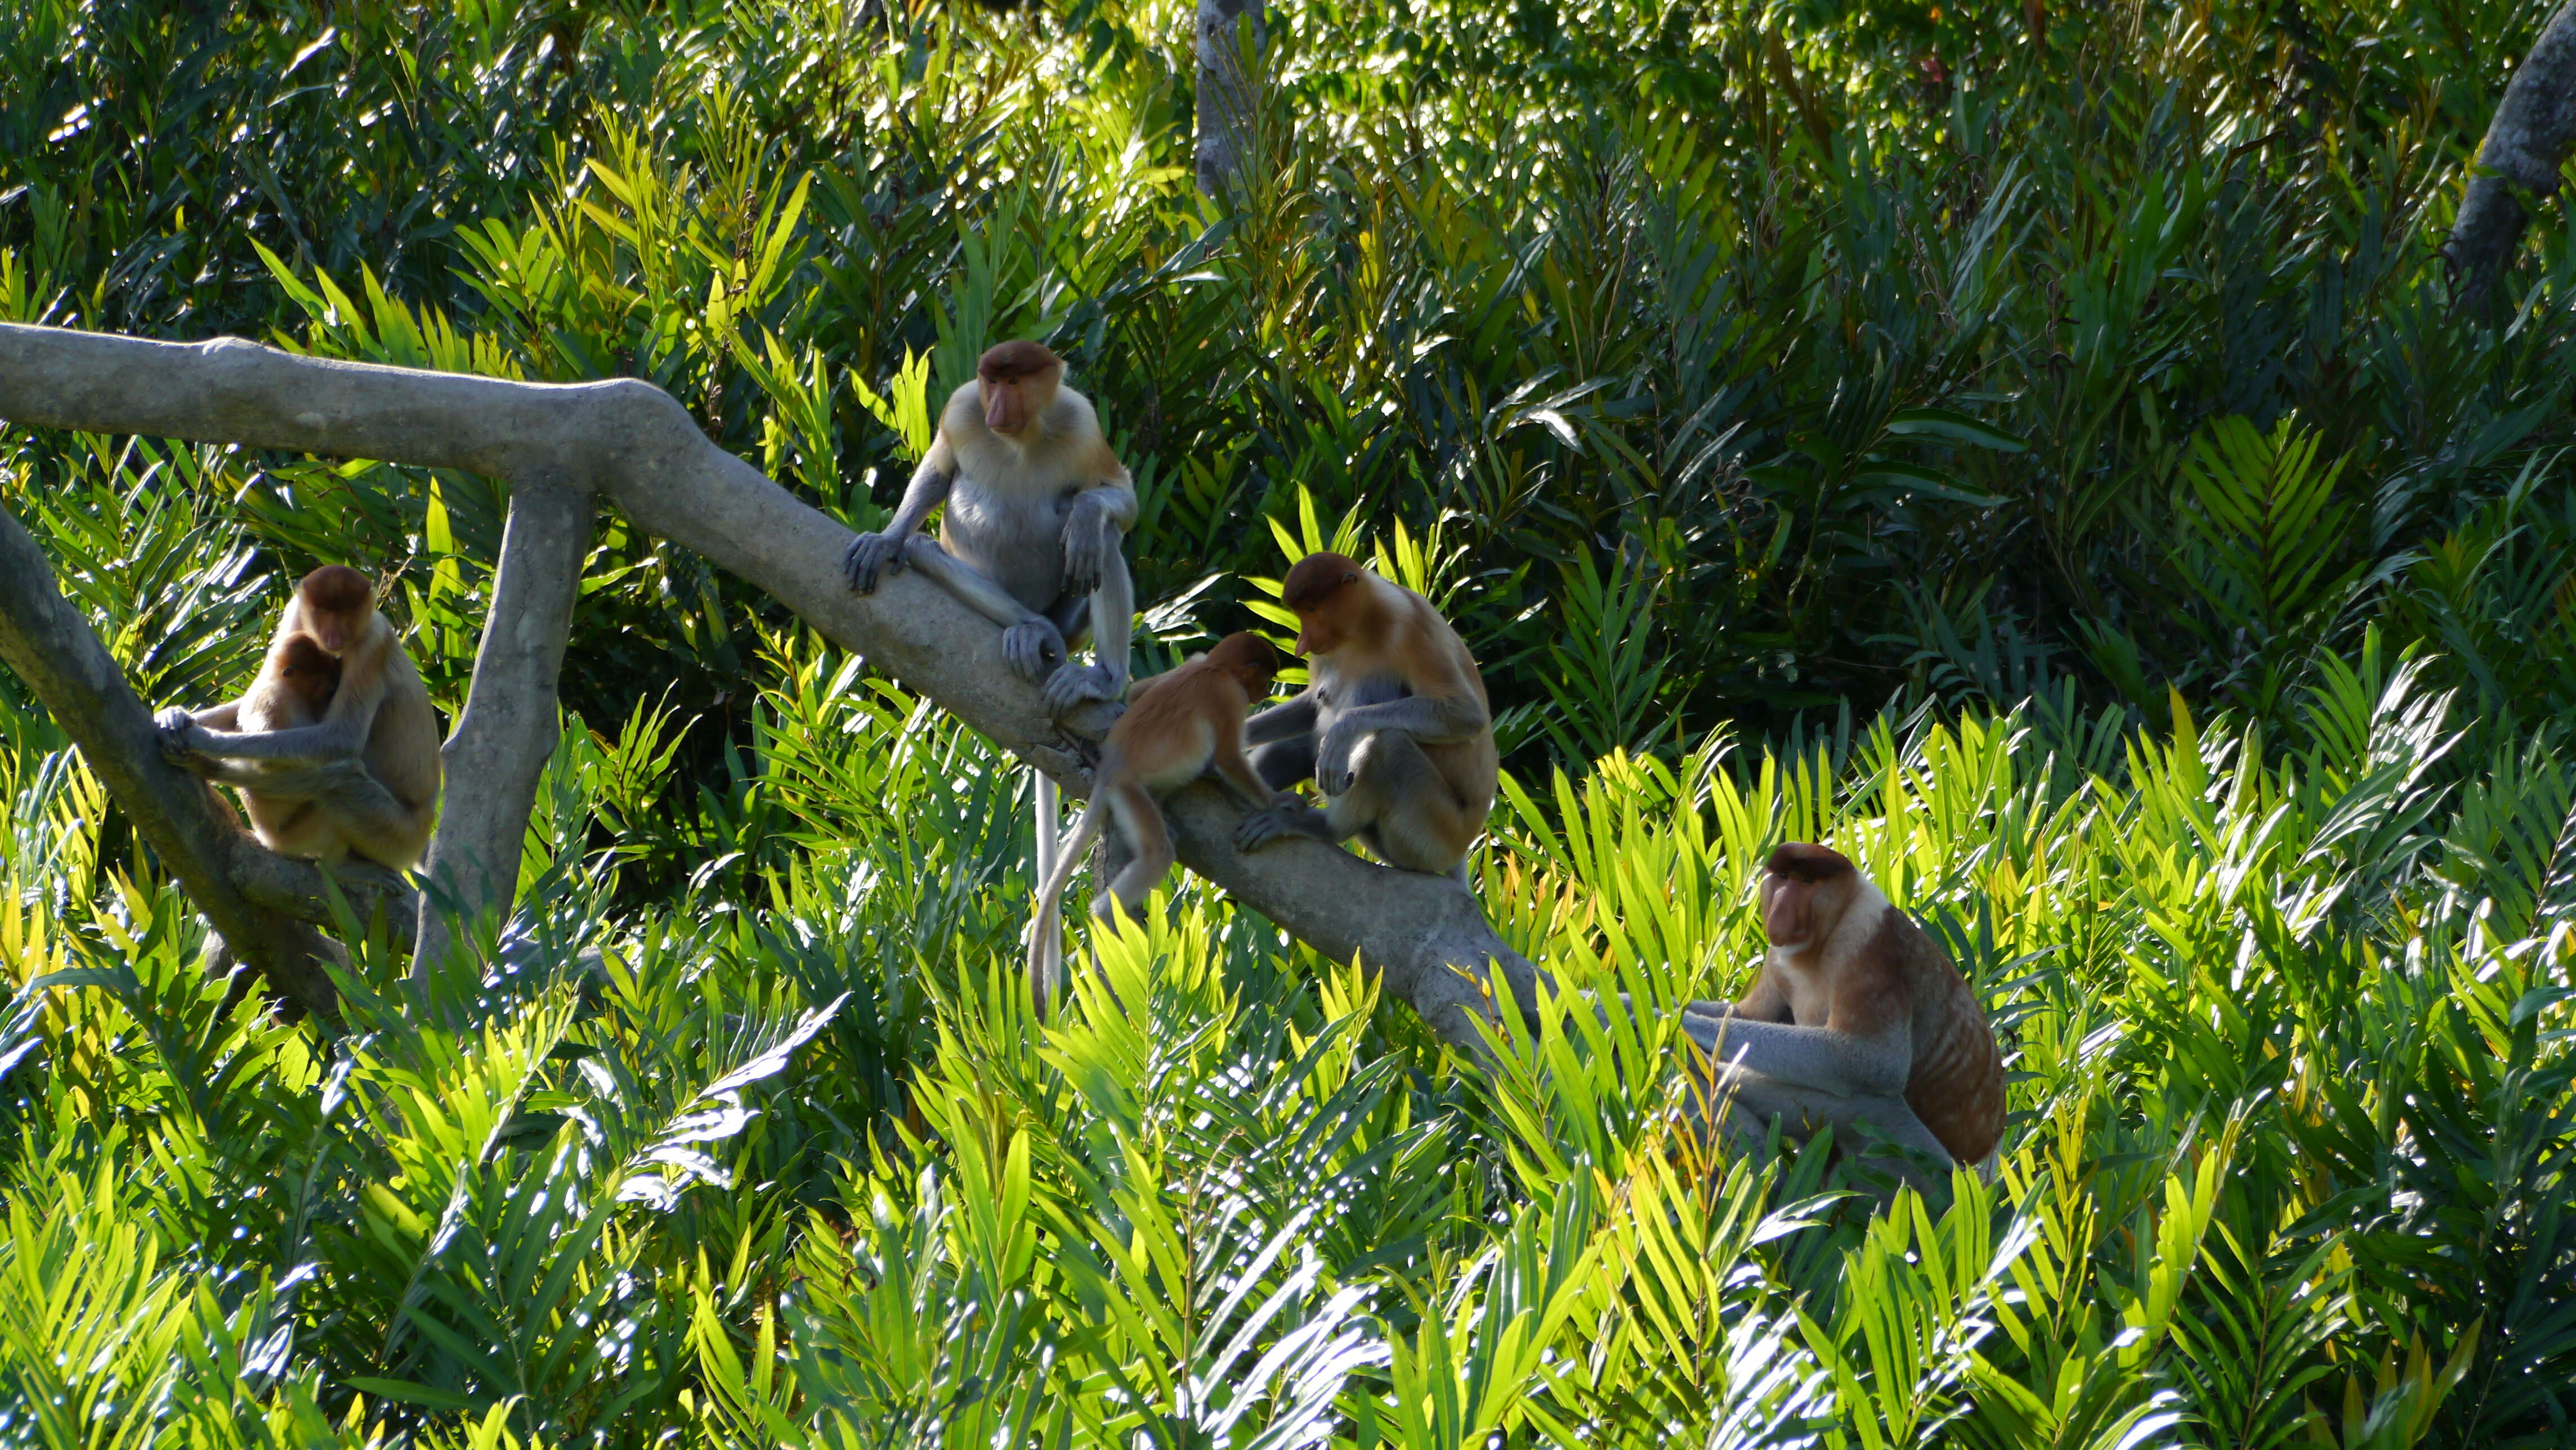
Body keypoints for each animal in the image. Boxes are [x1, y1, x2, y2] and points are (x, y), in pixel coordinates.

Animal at [156, 561, 440, 870]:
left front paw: (203, 740)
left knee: (340, 780)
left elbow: (343, 738)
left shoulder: (372, 645)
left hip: (395, 835)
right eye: (323, 612)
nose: (333, 636)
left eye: (346, 613)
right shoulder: (296, 613)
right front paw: (175, 716)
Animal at [844, 339, 1138, 999]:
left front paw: (1087, 513)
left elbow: (1117, 498)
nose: (998, 406)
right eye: (991, 380)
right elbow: (937, 473)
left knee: (1103, 542)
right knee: (929, 551)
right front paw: (886, 536)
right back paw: (1027, 630)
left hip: (1073, 614)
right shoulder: (961, 407)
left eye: (1017, 379)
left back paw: (1096, 669)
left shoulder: (1080, 422)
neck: (1020, 437)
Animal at [1014, 636, 1277, 1019]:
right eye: (1265, 678)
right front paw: (1280, 805)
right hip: (1128, 791)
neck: (1213, 667)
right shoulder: (1227, 695)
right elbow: (1229, 758)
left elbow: (1138, 692)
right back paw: (1105, 912)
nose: (1267, 691)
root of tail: (1112, 766)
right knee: (1158, 854)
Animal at [1236, 551, 1504, 880]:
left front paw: (1342, 731)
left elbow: (1465, 714)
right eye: (1300, 613)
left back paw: (1325, 827)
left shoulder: (1411, 626)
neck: (1364, 624)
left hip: (1435, 836)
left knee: (1387, 745)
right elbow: (1312, 705)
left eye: (1313, 610)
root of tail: (1461, 851)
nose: (1302, 643)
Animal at [1689, 844, 2009, 1195]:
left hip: (1931, 1170)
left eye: (1807, 881)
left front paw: (1684, 1023)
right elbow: (1748, 1014)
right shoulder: (1777, 960)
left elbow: (1870, 1060)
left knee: (1872, 1106)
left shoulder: (1870, 949)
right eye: (1783, 877)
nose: (1780, 909)